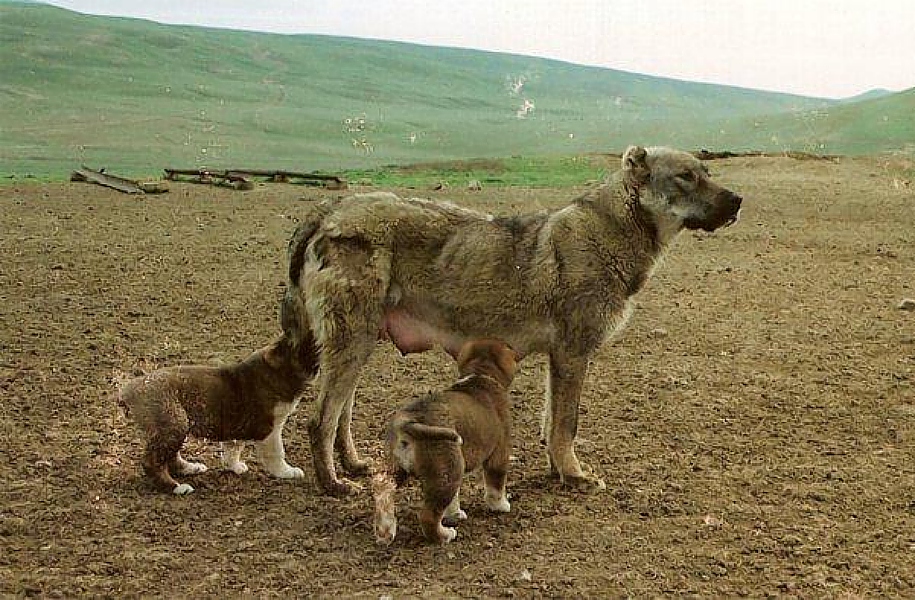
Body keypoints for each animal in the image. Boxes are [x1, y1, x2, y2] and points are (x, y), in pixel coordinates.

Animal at [116, 336, 316, 494]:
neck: (278, 371)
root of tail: (128, 391)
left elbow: (233, 447)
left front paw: (234, 466)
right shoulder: (270, 428)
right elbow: (277, 452)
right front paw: (286, 472)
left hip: (174, 425)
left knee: (169, 457)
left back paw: (191, 468)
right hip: (173, 422)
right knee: (152, 461)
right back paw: (176, 487)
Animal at [284, 145, 744, 492]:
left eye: (707, 172)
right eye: (686, 177)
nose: (738, 201)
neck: (612, 232)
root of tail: (331, 209)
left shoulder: (559, 360)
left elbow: (552, 424)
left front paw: (559, 471)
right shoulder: (573, 355)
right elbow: (566, 425)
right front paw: (575, 475)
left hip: (357, 347)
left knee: (340, 419)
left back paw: (354, 465)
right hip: (351, 345)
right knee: (319, 421)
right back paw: (333, 485)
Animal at [370, 340, 516, 548]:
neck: (481, 374)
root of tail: (408, 422)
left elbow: (454, 500)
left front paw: (454, 514)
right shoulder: (499, 453)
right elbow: (496, 484)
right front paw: (501, 506)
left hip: (403, 468)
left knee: (383, 491)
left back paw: (385, 532)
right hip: (446, 474)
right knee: (428, 516)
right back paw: (445, 535)